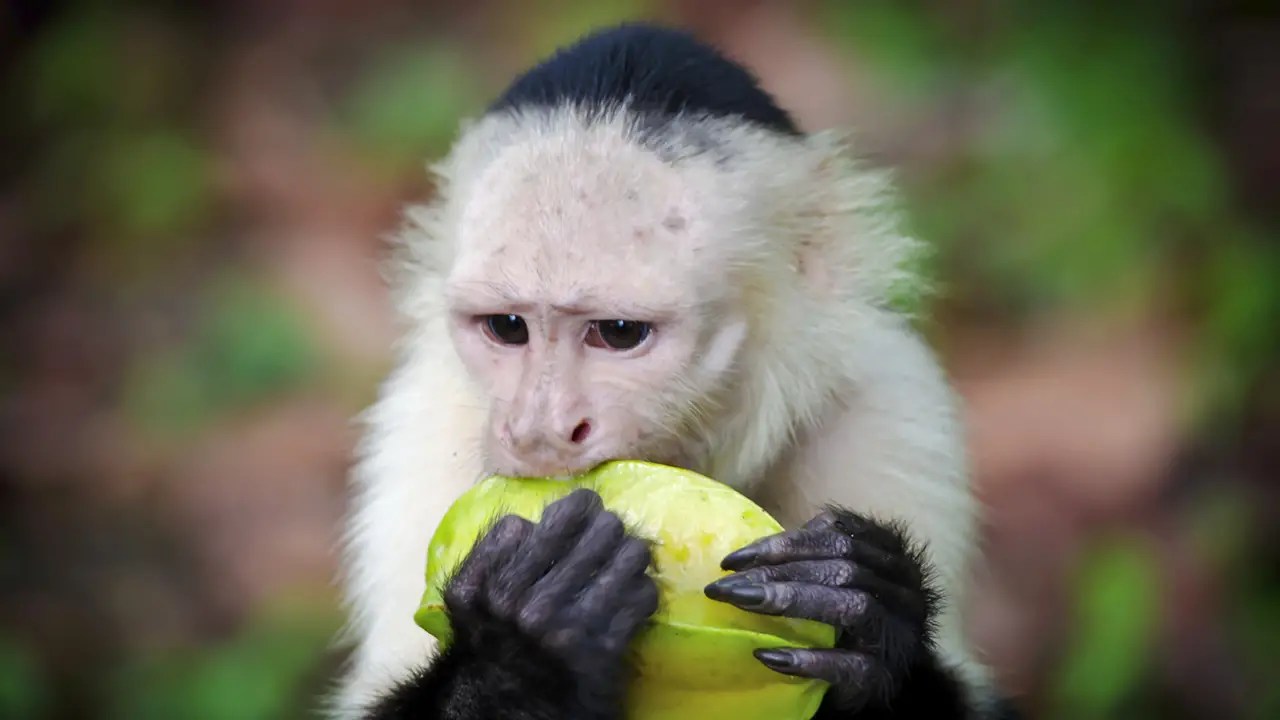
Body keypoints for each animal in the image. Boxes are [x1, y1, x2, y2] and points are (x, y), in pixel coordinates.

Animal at [332, 22, 1017, 720]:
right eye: (507, 326)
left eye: (618, 333)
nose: (539, 430)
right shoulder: (422, 416)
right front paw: (523, 644)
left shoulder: (889, 400)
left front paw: (869, 607)